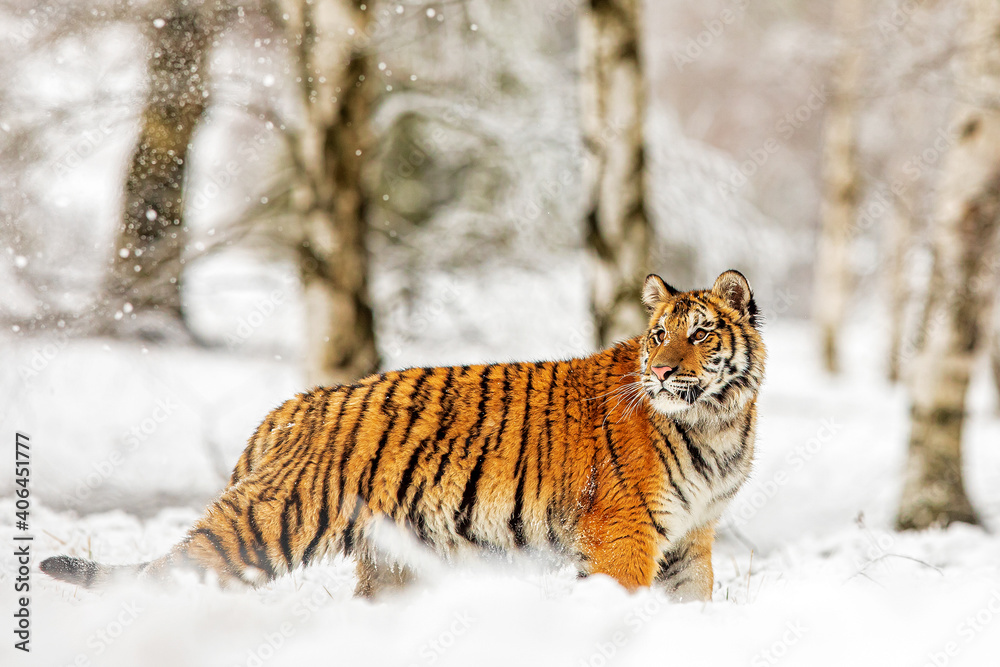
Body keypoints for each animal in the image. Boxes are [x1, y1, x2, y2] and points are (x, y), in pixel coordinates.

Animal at [41, 270, 765, 602]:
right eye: (658, 335)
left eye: (700, 332)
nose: (664, 369)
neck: (717, 424)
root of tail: (290, 407)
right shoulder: (625, 532)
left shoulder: (690, 538)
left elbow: (691, 599)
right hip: (265, 523)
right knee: (174, 573)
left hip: (392, 560)